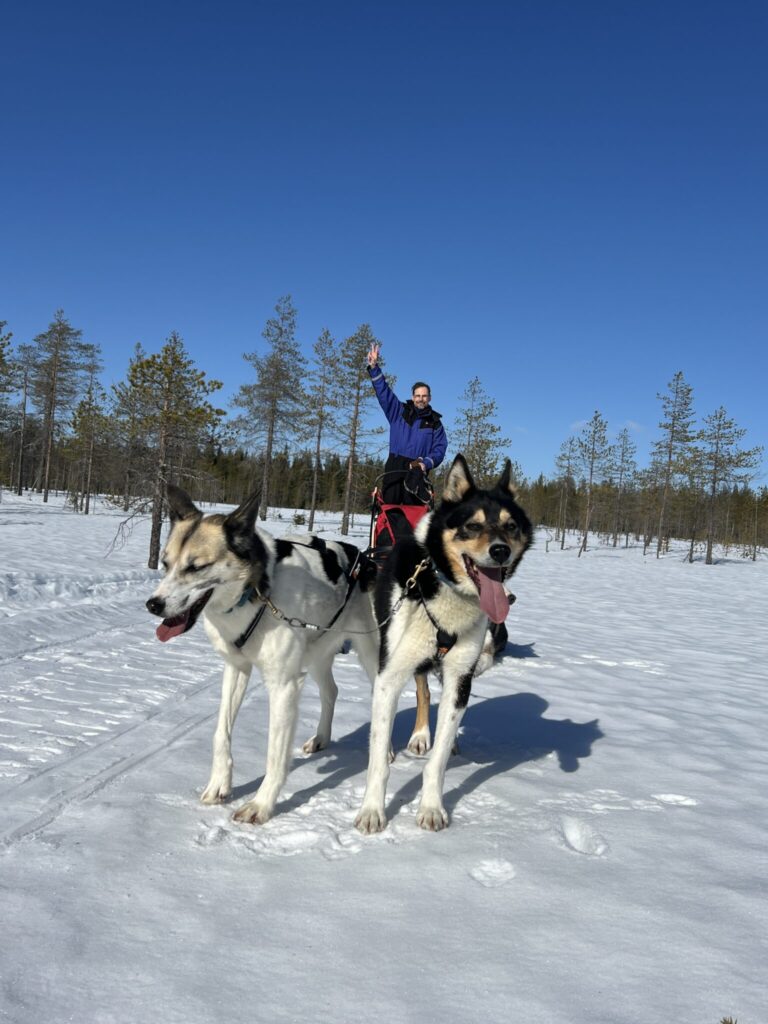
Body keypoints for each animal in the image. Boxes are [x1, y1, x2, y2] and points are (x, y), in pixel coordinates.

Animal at [146, 486, 379, 824]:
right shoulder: (236, 668)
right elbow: (221, 732)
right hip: (317, 652)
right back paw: (321, 738)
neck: (258, 593)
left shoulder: (283, 686)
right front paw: (219, 784)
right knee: (331, 691)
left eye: (196, 567)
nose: (153, 604)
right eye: (165, 564)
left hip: (374, 658)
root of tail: (368, 560)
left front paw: (261, 804)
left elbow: (274, 754)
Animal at [355, 454, 533, 833]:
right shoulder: (390, 674)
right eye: (472, 526)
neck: (444, 588)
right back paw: (416, 737)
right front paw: (372, 810)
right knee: (416, 694)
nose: (500, 551)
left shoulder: (460, 677)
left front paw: (432, 807)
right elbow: (378, 756)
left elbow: (436, 761)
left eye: (511, 526)